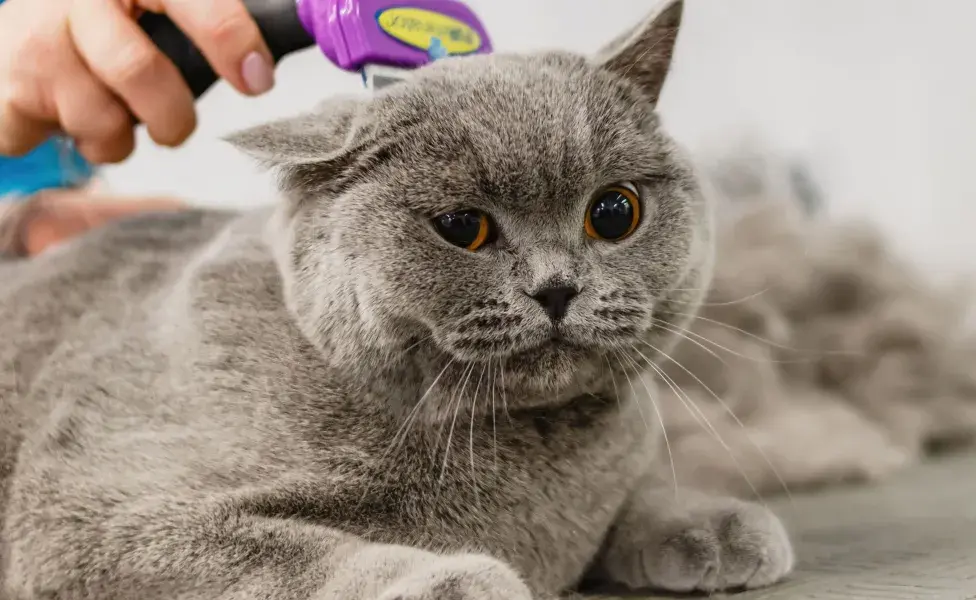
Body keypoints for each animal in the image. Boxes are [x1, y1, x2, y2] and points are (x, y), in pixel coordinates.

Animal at [0, 2, 792, 596]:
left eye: (615, 212)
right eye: (463, 227)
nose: (557, 288)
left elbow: (635, 492)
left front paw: (711, 522)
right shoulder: (100, 518)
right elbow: (288, 553)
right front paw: (455, 579)